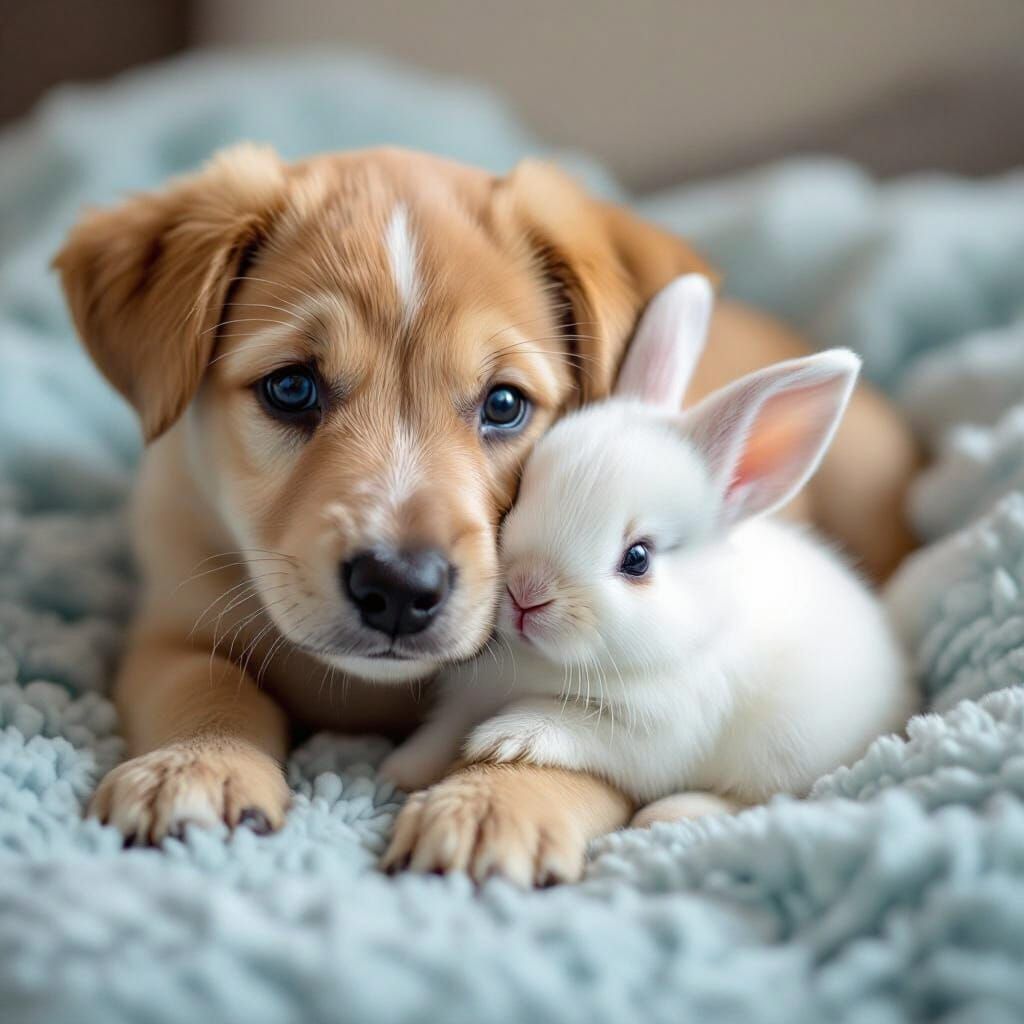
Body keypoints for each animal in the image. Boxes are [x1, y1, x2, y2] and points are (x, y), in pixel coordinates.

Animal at [380, 274, 915, 821]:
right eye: (526, 488)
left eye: (638, 559)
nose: (527, 594)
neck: (544, 664)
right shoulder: (470, 692)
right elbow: (443, 730)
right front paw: (397, 771)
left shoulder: (653, 736)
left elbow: (564, 722)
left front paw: (505, 739)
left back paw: (672, 812)